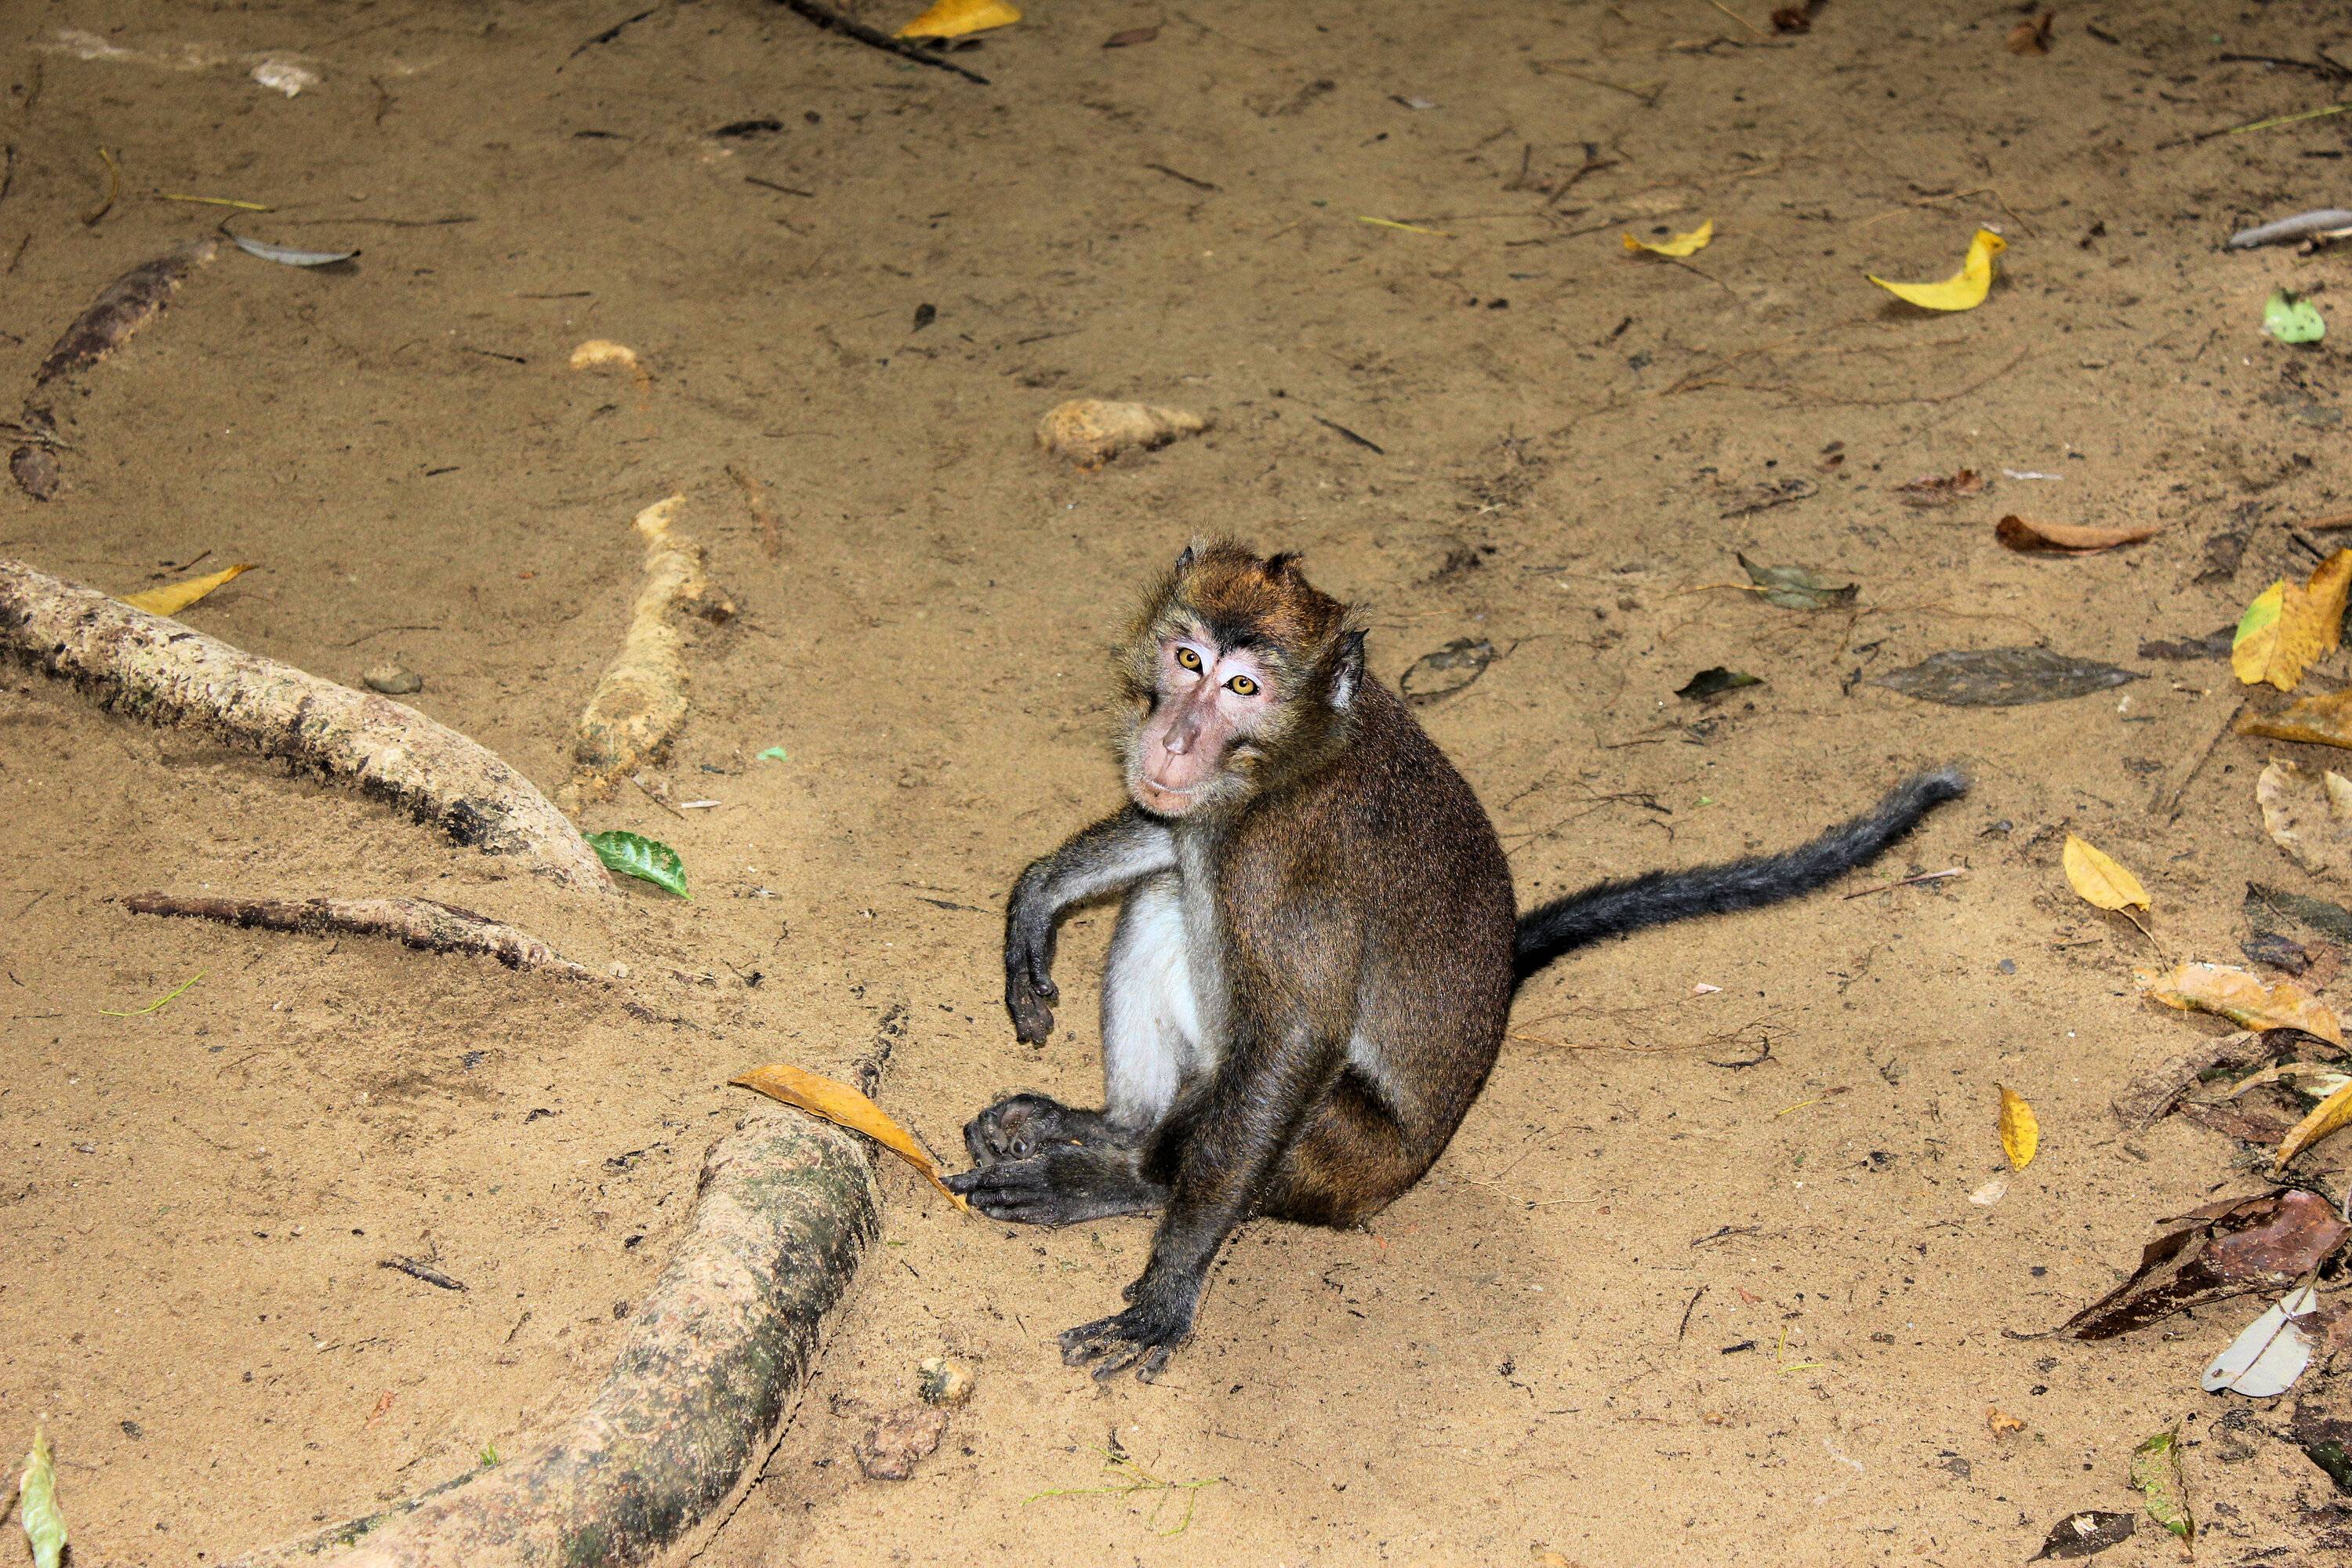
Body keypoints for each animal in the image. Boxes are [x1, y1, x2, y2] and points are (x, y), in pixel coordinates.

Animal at [946, 541, 1966, 1381]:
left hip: (1358, 1160)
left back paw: (1124, 1175)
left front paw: (1167, 1286)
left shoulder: (1288, 865)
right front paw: (1040, 894)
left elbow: (1296, 1044)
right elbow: (1165, 835)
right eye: (1188, 660)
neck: (1289, 761)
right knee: (1164, 896)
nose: (1174, 737)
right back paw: (1113, 1127)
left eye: (1243, 688)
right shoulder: (1212, 811)